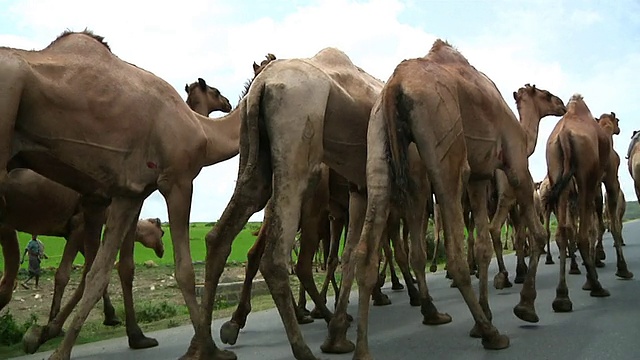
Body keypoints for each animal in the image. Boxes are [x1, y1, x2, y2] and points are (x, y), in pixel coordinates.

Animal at [0, 30, 248, 360]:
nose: (229, 100)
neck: (203, 131)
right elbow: (179, 269)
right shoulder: (176, 181)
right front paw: (208, 349)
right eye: (216, 90)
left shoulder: (127, 195)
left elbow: (99, 271)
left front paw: (57, 345)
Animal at [364, 40, 564, 358]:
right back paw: (491, 333)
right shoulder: (516, 165)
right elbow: (535, 234)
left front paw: (488, 311)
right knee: (455, 256)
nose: (562, 103)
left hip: (382, 146)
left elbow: (482, 245)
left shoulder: (478, 179)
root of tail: (395, 85)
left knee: (371, 252)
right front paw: (525, 306)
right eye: (544, 94)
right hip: (444, 150)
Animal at [544, 100, 632, 314]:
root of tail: (564, 135)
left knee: (564, 232)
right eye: (618, 121)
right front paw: (622, 269)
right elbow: (611, 223)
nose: (619, 129)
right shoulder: (610, 178)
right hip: (585, 178)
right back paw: (597, 287)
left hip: (558, 173)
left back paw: (562, 297)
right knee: (582, 233)